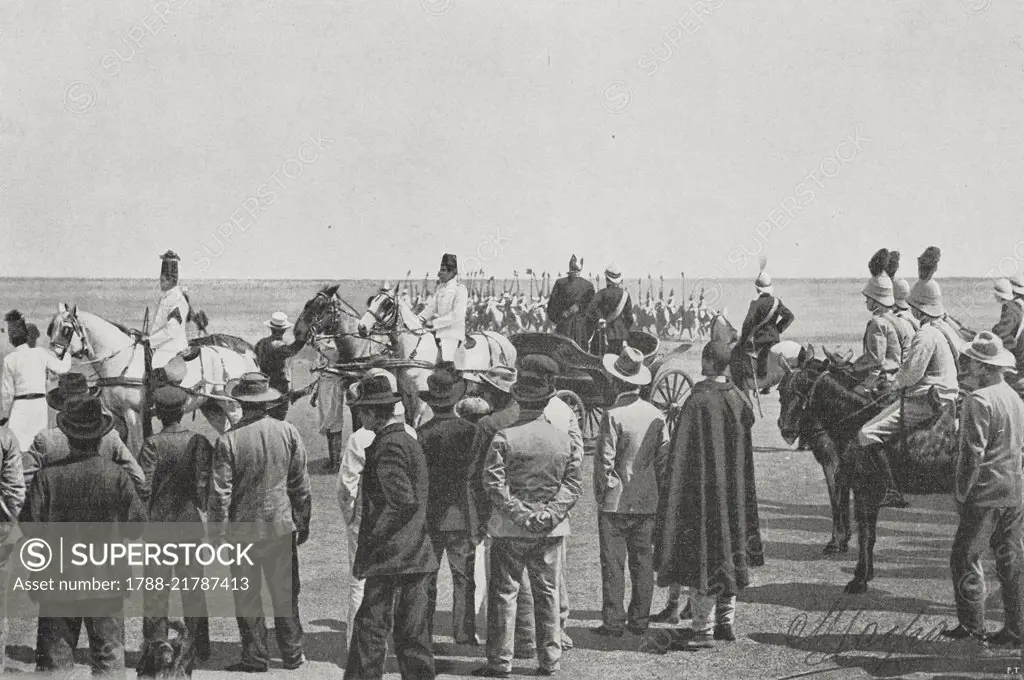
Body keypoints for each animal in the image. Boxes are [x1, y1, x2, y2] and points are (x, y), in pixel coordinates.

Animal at [49, 303, 262, 454]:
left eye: (66, 329)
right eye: (51, 329)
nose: (52, 357)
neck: (121, 360)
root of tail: (239, 353)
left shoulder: (133, 413)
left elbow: (136, 448)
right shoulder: (117, 416)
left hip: (229, 404)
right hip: (212, 407)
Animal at [360, 282, 520, 417]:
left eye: (388, 304)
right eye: (372, 301)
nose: (362, 327)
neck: (414, 349)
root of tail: (504, 340)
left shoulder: (420, 397)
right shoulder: (406, 395)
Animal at [778, 350, 962, 593]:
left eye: (801, 391)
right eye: (781, 391)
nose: (786, 430)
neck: (854, 420)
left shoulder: (863, 488)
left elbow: (864, 533)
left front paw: (858, 578)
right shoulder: (853, 483)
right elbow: (863, 529)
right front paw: (859, 568)